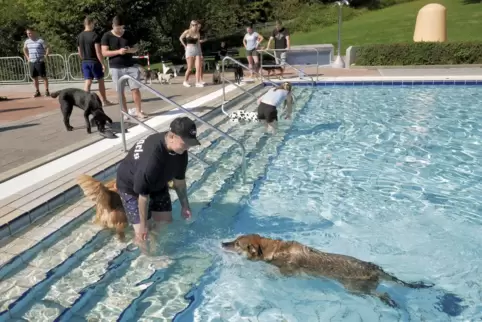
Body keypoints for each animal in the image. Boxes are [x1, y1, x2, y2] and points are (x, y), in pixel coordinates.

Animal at [221, 234, 434, 306]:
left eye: (237, 244)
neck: (273, 249)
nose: (223, 243)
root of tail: (377, 269)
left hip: (356, 289)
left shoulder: (287, 270)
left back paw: (388, 300)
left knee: (381, 293)